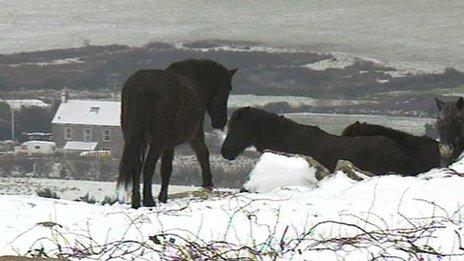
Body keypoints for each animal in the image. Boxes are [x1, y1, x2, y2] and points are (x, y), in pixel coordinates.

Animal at [118, 59, 237, 207]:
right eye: (227, 89)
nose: (221, 121)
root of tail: (142, 88)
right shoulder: (194, 135)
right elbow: (202, 153)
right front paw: (207, 184)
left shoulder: (169, 144)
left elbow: (166, 168)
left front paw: (163, 198)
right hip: (158, 141)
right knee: (148, 166)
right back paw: (148, 200)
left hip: (135, 138)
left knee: (137, 167)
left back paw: (136, 202)